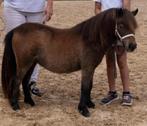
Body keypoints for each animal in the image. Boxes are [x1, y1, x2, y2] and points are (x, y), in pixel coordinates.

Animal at [1, 8, 138, 117]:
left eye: (134, 26)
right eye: (121, 25)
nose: (132, 46)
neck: (91, 38)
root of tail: (16, 29)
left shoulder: (91, 68)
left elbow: (90, 86)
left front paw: (89, 104)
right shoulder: (87, 68)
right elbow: (85, 87)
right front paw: (83, 109)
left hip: (32, 63)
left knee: (25, 81)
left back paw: (30, 102)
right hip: (24, 64)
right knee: (16, 80)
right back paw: (15, 105)